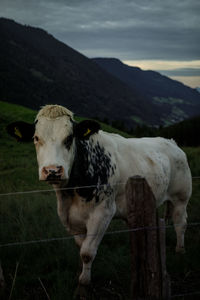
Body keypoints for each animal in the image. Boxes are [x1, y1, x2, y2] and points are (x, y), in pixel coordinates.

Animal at [7, 105, 192, 286]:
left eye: (69, 138)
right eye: (36, 138)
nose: (52, 170)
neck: (72, 191)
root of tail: (171, 142)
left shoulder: (103, 213)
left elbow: (87, 251)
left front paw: (84, 281)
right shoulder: (70, 217)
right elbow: (81, 247)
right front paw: (81, 274)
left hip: (181, 197)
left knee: (180, 223)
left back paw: (180, 250)